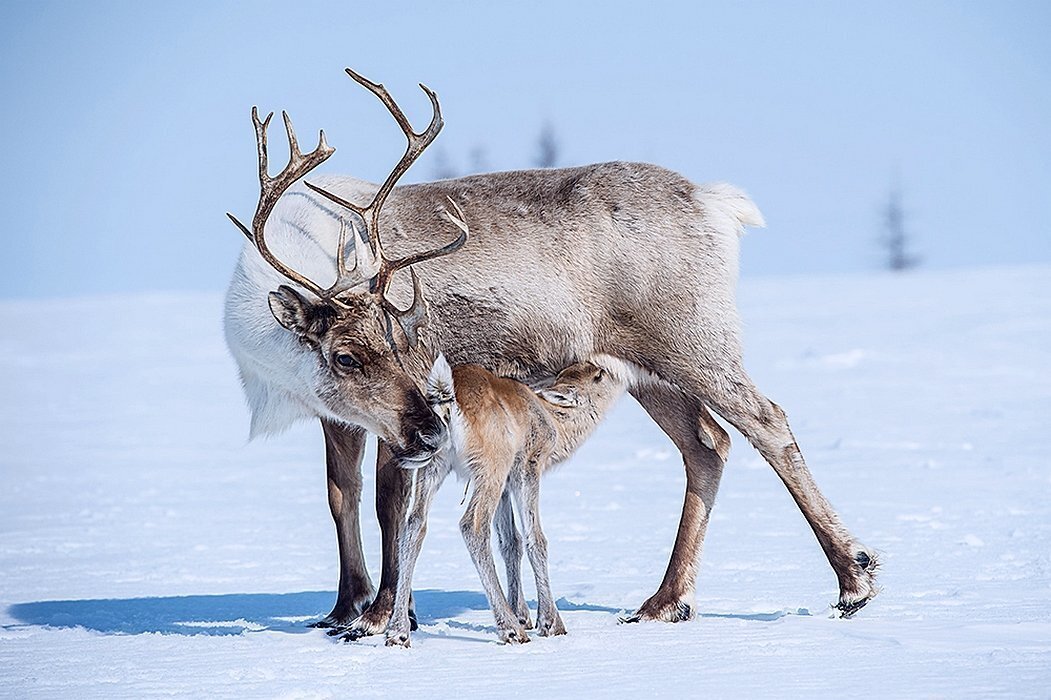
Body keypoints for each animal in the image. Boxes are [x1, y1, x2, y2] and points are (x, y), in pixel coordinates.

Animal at [390, 355, 626, 643]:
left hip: (433, 464)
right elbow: (535, 539)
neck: (553, 420)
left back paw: (398, 631)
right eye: (598, 375)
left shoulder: (505, 486)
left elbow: (511, 542)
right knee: (472, 525)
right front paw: (549, 622)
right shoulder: (528, 464)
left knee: (414, 524)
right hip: (492, 463)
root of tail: (447, 399)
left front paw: (523, 614)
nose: (615, 371)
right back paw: (510, 628)